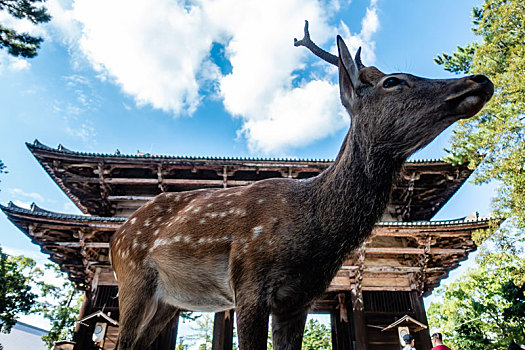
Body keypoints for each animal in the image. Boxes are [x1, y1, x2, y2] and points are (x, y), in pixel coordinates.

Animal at [110, 21, 492, 350]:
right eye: (393, 81)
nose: (479, 80)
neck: (315, 235)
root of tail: (117, 235)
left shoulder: (299, 300)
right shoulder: (248, 281)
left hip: (169, 300)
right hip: (132, 277)